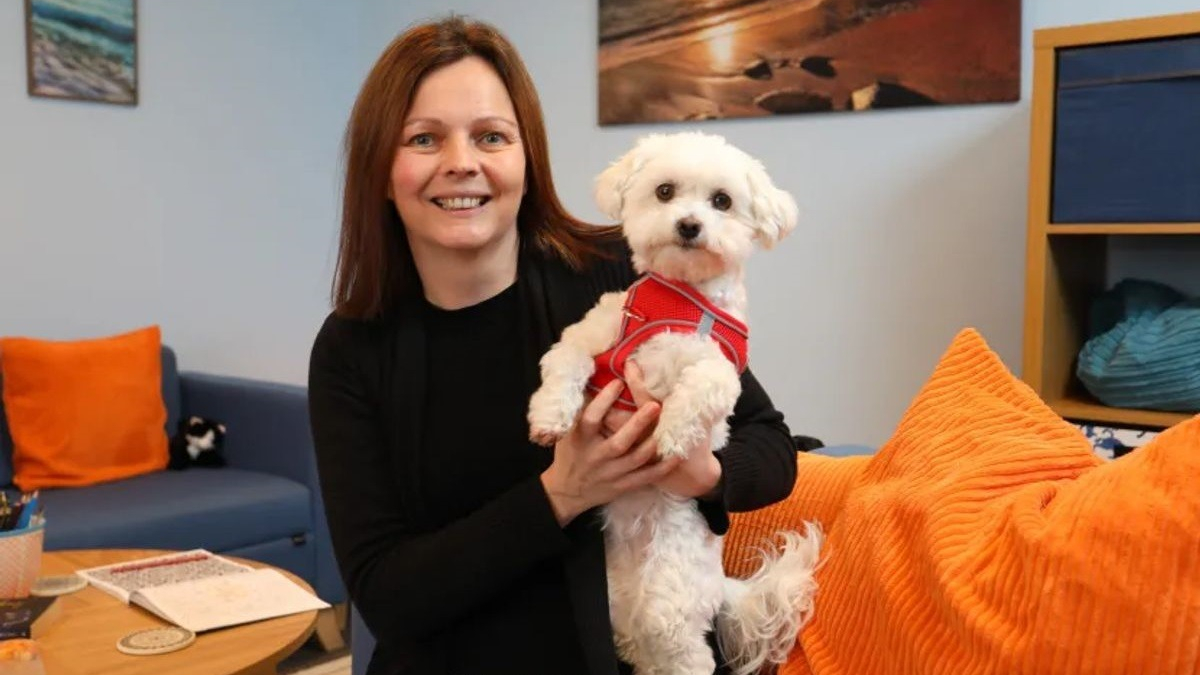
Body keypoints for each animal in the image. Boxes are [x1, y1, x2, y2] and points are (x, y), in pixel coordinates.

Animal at [528, 131, 820, 672]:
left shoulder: (722, 368)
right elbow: (566, 360)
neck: (680, 299)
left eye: (722, 201)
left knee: (687, 653)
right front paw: (550, 416)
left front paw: (670, 436)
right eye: (665, 191)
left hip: (672, 602)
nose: (688, 225)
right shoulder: (597, 333)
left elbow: (700, 387)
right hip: (621, 611)